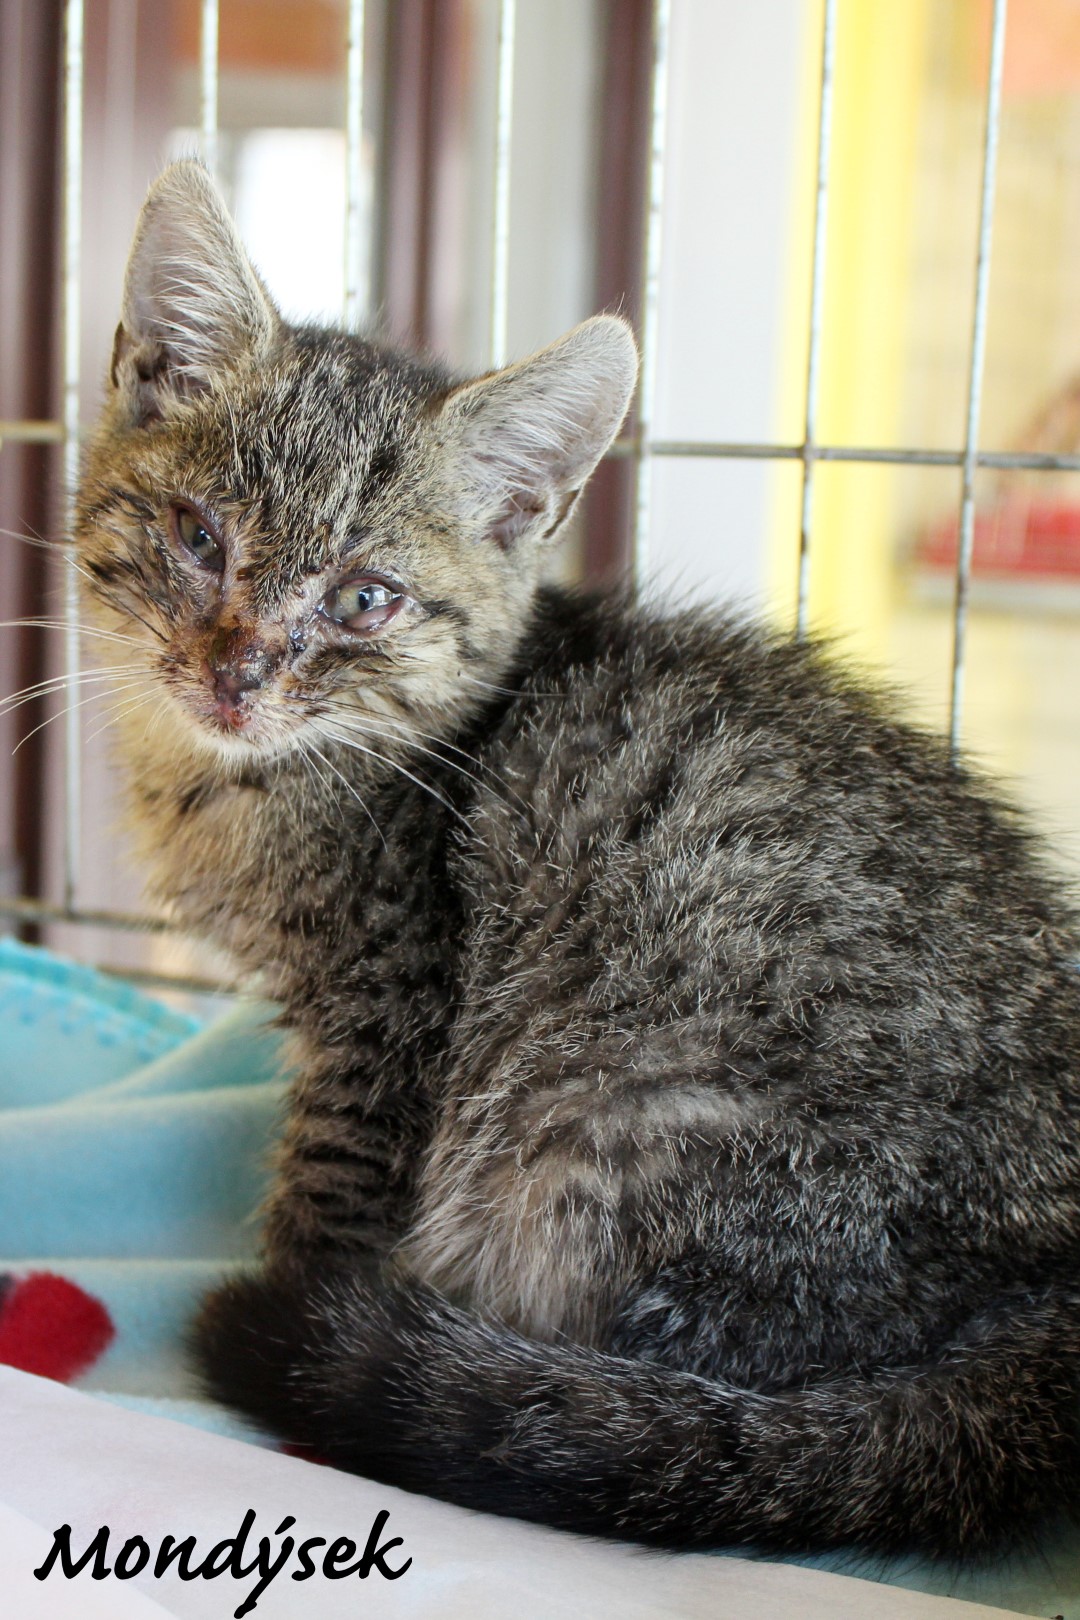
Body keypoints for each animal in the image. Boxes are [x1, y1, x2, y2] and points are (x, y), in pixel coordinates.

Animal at [74, 159, 1080, 1559]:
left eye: (366, 599)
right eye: (196, 534)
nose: (237, 671)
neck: (245, 785)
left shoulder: (394, 1004)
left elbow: (332, 1190)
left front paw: (297, 1308)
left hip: (608, 1125)